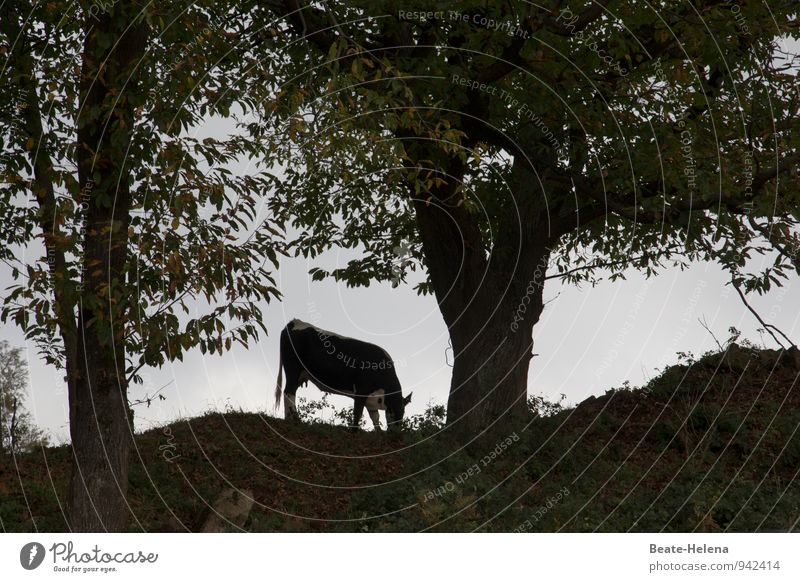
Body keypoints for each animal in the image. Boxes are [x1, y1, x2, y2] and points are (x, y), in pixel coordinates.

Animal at [276, 322, 412, 432]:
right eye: (396, 410)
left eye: (403, 412)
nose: (395, 432)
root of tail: (294, 322)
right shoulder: (362, 390)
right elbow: (358, 412)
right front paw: (354, 430)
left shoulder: (371, 399)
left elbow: (375, 416)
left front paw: (378, 431)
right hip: (292, 367)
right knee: (289, 392)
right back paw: (294, 420)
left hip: (300, 374)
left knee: (289, 392)